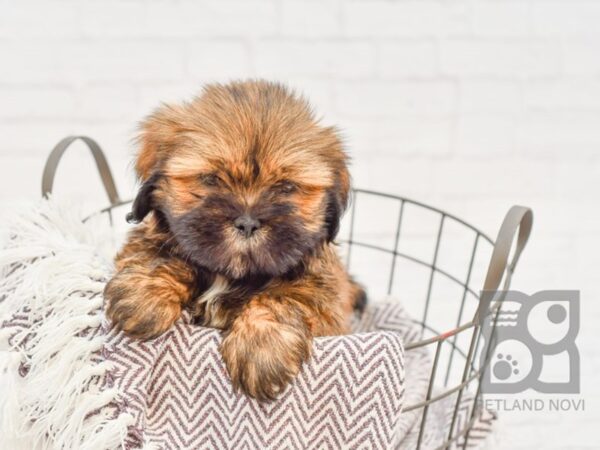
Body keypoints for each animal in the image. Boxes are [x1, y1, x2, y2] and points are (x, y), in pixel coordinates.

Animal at [104, 79, 366, 400]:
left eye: (286, 187)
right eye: (211, 179)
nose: (248, 223)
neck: (229, 276)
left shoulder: (328, 300)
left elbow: (286, 297)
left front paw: (262, 350)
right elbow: (158, 253)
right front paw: (143, 298)